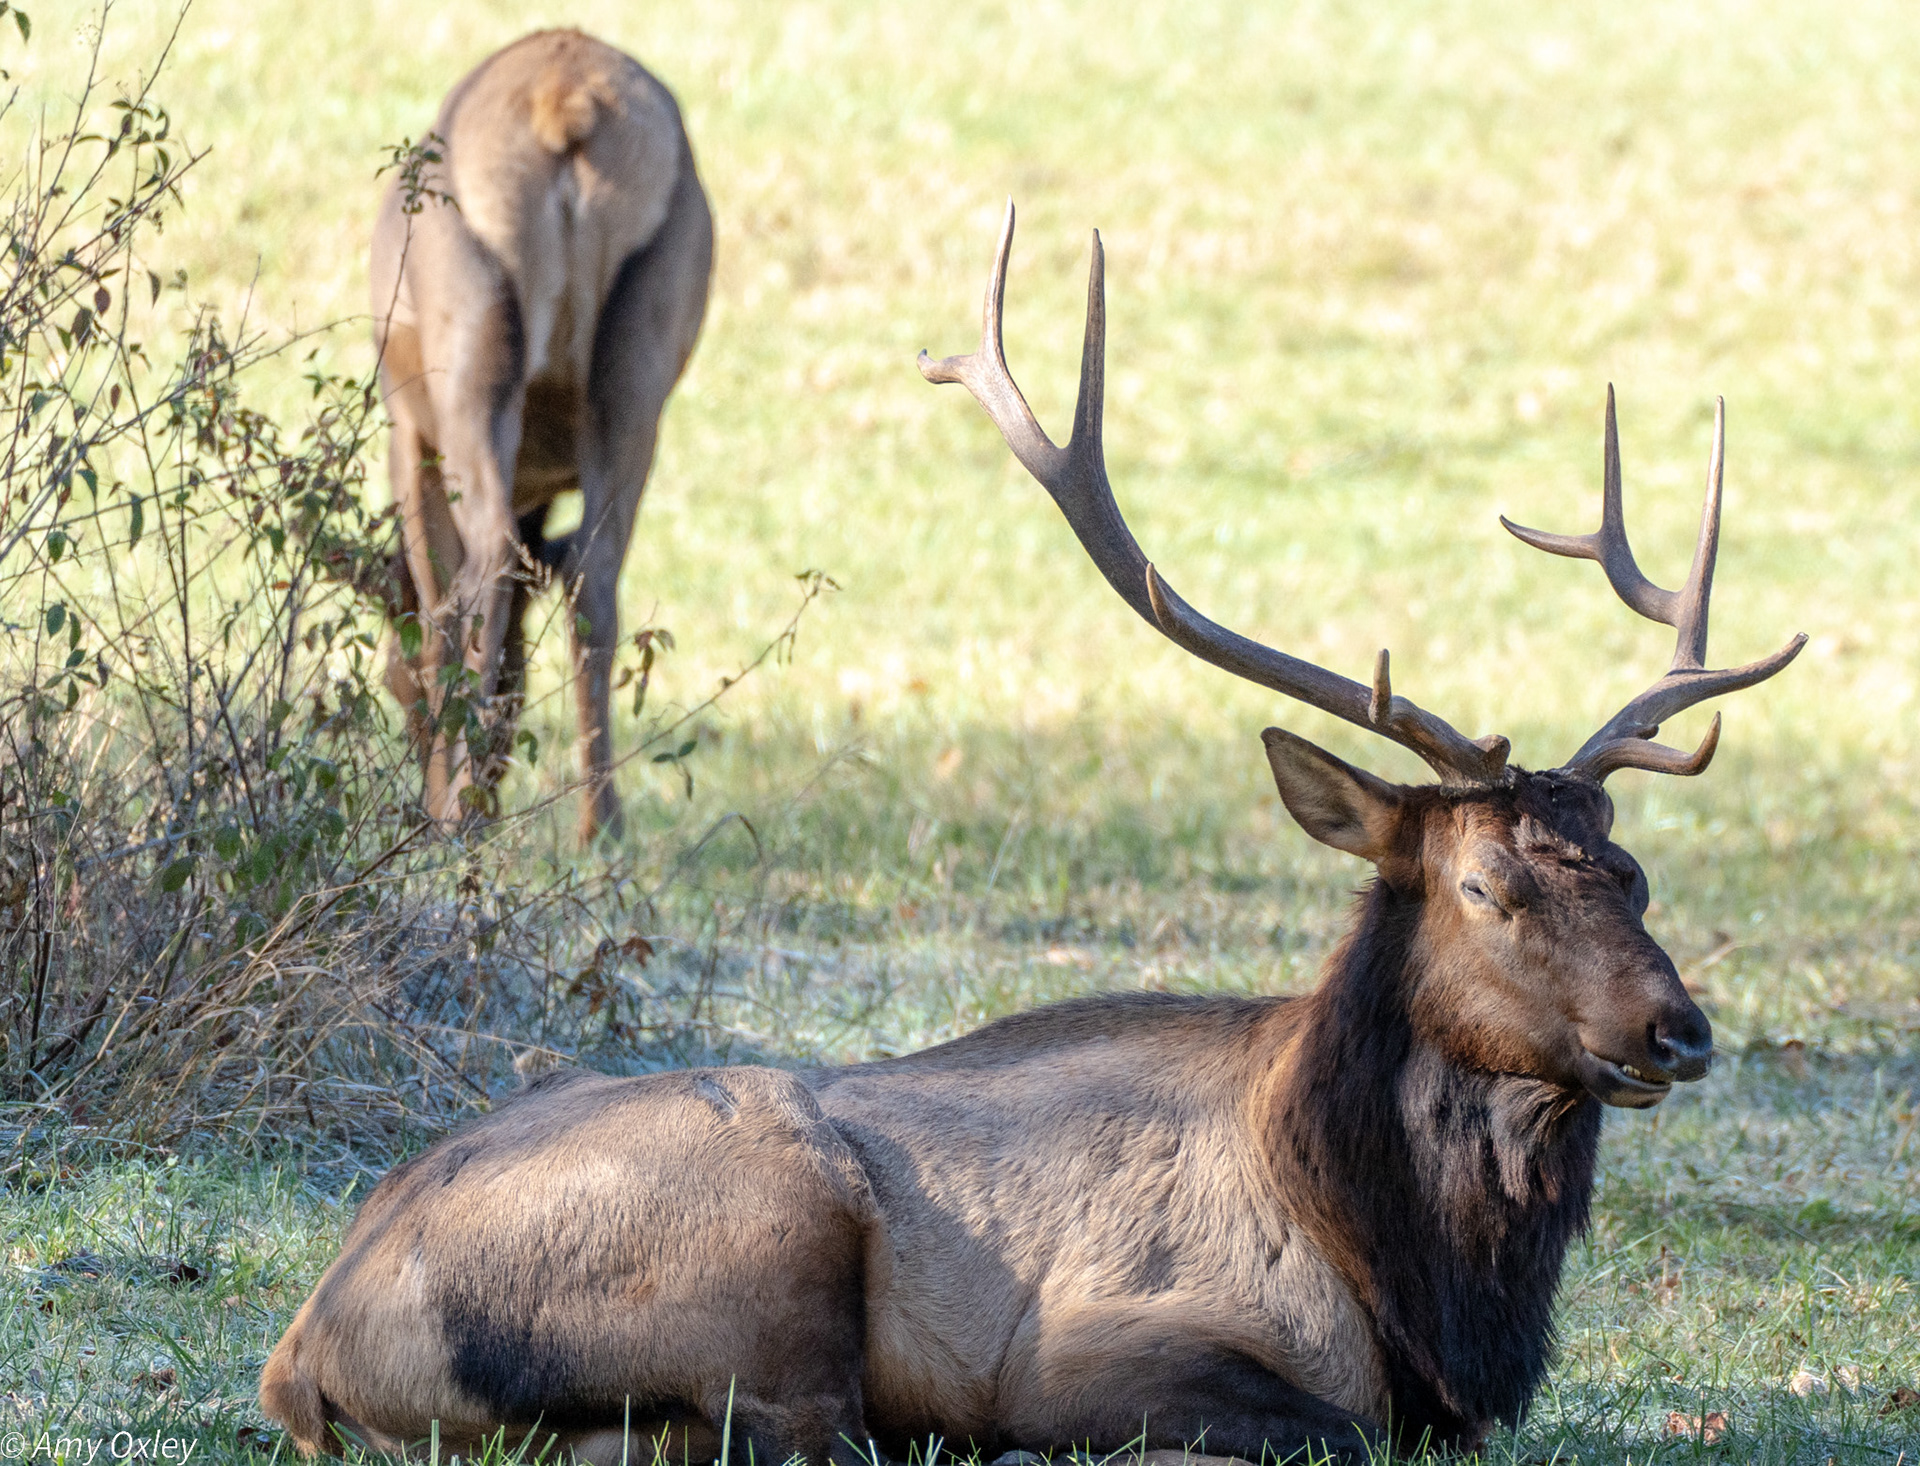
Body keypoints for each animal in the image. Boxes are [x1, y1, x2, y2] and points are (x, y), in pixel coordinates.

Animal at [260, 202, 1803, 1465]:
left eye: (1634, 872)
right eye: (1487, 884)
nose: (1677, 1029)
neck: (1411, 1278)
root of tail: (304, 1338)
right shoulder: (1095, 1338)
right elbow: (1328, 1428)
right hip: (772, 1232)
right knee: (800, 1433)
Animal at [371, 30, 712, 842]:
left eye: (392, 682)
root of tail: (568, 106)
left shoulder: (409, 434)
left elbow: (435, 606)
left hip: (475, 375)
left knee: (482, 574)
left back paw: (460, 814)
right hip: (634, 381)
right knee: (594, 572)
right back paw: (600, 825)